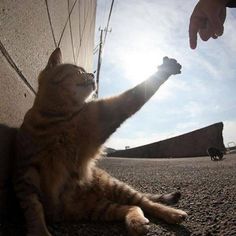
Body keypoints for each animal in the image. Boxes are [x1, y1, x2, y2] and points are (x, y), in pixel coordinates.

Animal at [13, 48, 186, 236]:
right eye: (79, 71)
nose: (91, 74)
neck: (56, 118)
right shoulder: (25, 174)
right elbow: (32, 209)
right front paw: (39, 230)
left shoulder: (102, 115)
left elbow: (136, 94)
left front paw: (165, 70)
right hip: (95, 208)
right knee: (131, 207)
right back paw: (136, 222)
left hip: (115, 188)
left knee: (145, 203)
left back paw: (172, 214)